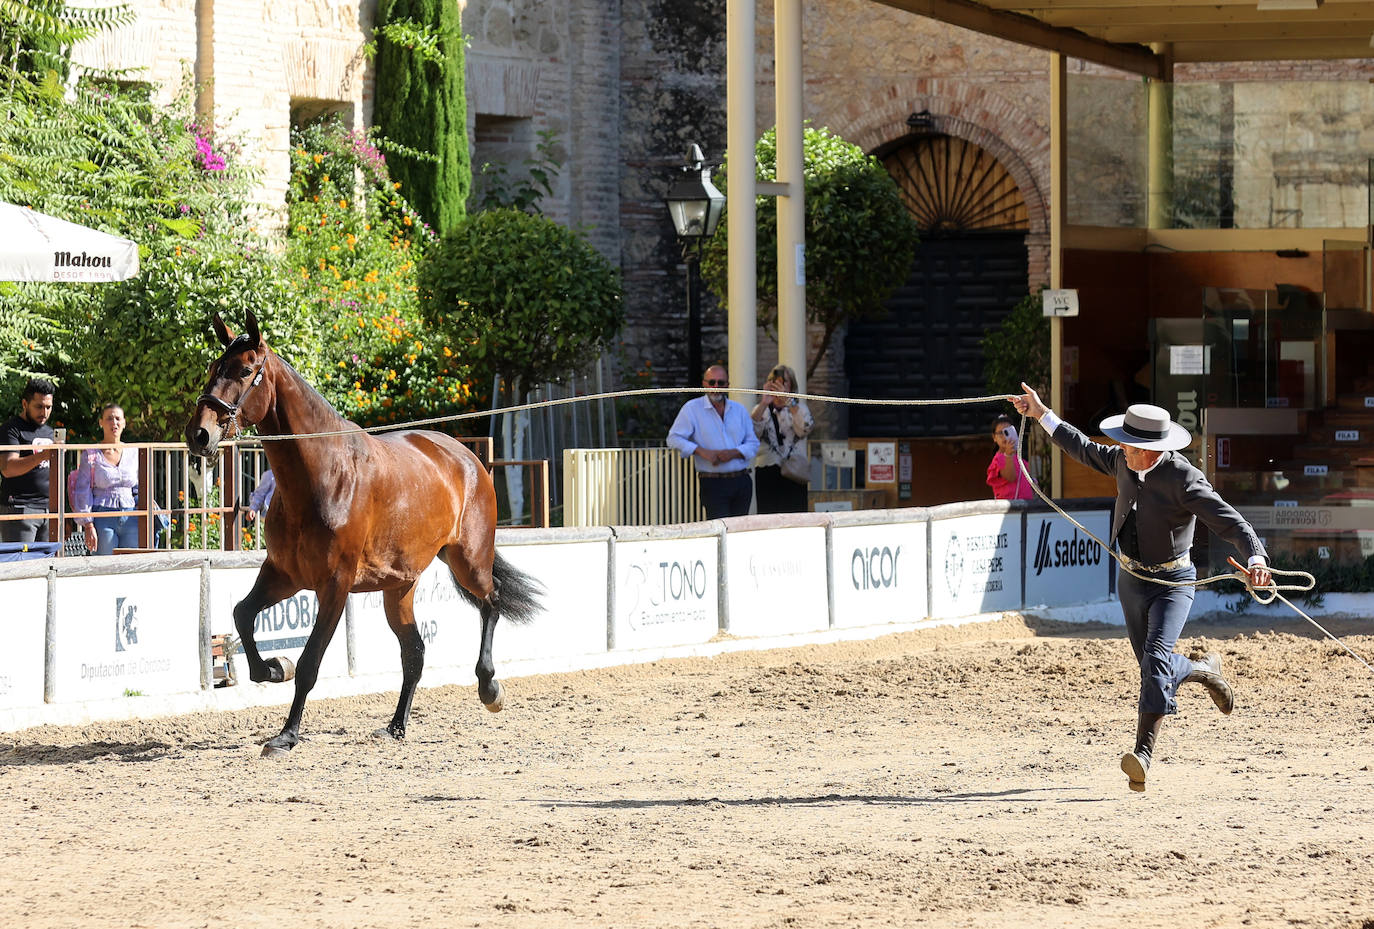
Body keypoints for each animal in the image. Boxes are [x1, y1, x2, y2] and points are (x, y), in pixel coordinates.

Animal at [181, 311, 541, 753]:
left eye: (246, 371)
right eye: (214, 367)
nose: (199, 434)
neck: (322, 476)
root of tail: (467, 457)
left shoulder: (334, 585)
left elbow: (310, 662)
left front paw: (286, 735)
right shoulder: (284, 574)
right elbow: (243, 615)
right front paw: (273, 667)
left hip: (468, 560)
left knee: (491, 601)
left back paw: (489, 687)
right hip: (398, 587)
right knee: (415, 652)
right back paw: (397, 725)